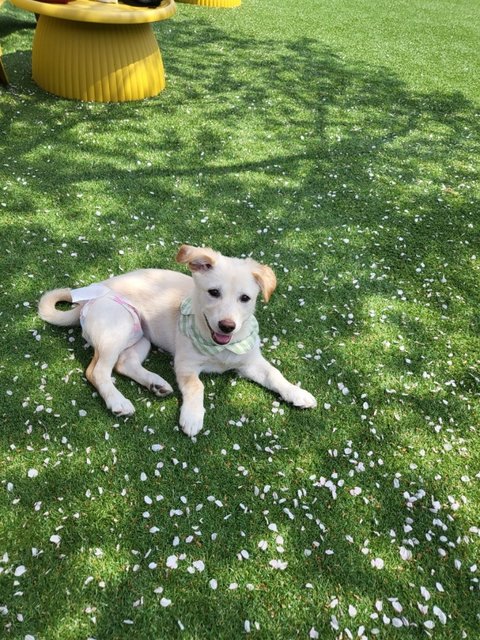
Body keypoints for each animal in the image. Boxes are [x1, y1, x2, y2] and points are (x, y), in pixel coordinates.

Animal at [38, 245, 317, 436]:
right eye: (213, 292)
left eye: (245, 298)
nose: (227, 326)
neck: (219, 346)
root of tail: (84, 301)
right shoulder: (185, 365)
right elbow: (197, 386)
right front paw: (192, 417)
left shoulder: (250, 362)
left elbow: (275, 375)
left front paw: (297, 393)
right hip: (118, 327)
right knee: (96, 371)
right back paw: (118, 401)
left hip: (141, 337)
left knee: (124, 363)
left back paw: (156, 384)